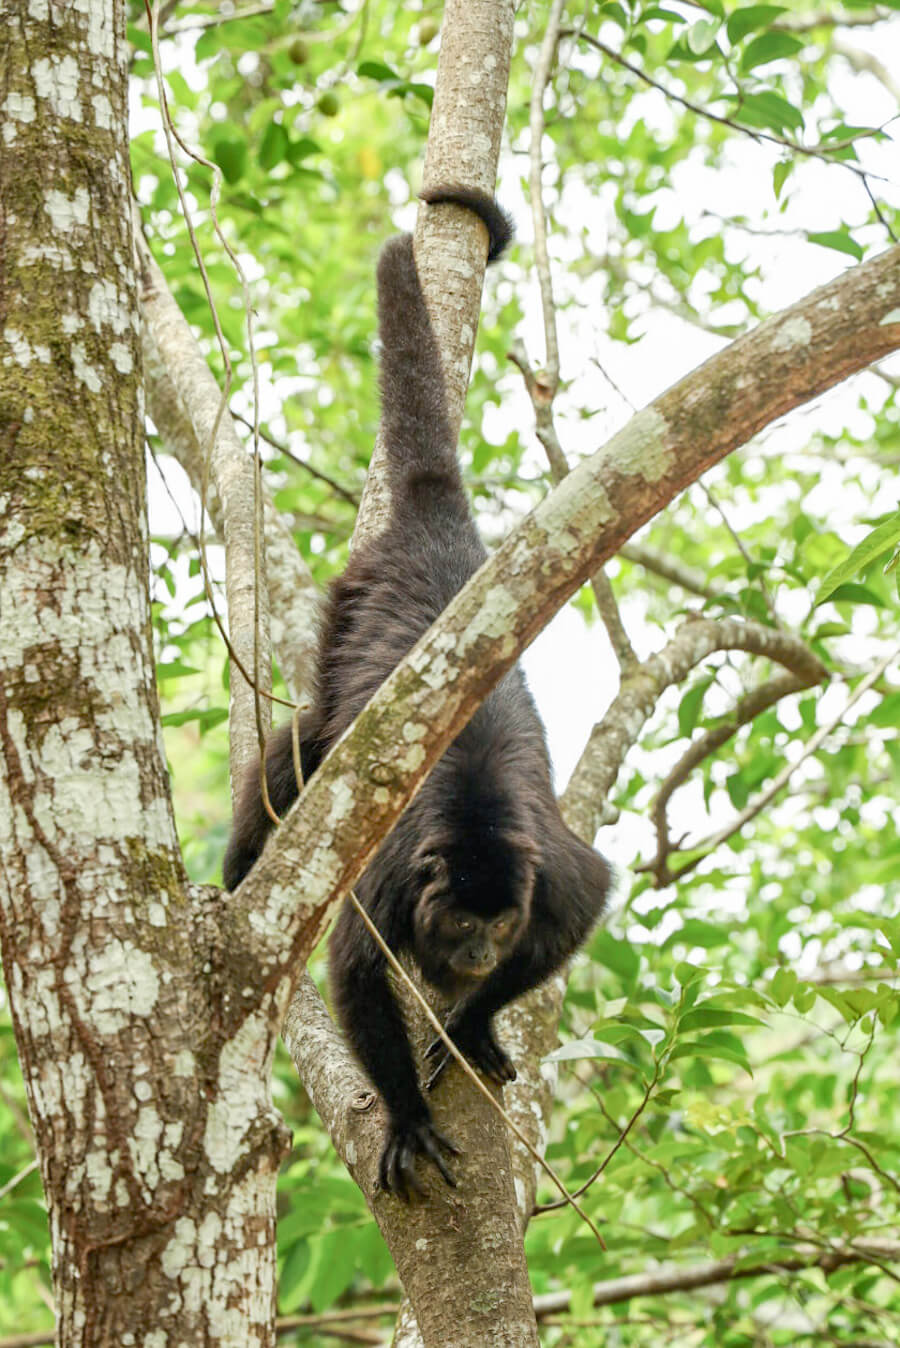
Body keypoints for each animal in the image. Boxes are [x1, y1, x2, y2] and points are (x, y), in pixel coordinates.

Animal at [224, 186, 611, 1198]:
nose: (475, 954)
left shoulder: (551, 873)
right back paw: (241, 871)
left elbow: (584, 904)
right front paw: (404, 1117)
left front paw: (475, 1023)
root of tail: (438, 530)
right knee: (299, 752)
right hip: (347, 606)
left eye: (499, 921)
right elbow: (356, 972)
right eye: (459, 917)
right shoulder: (395, 877)